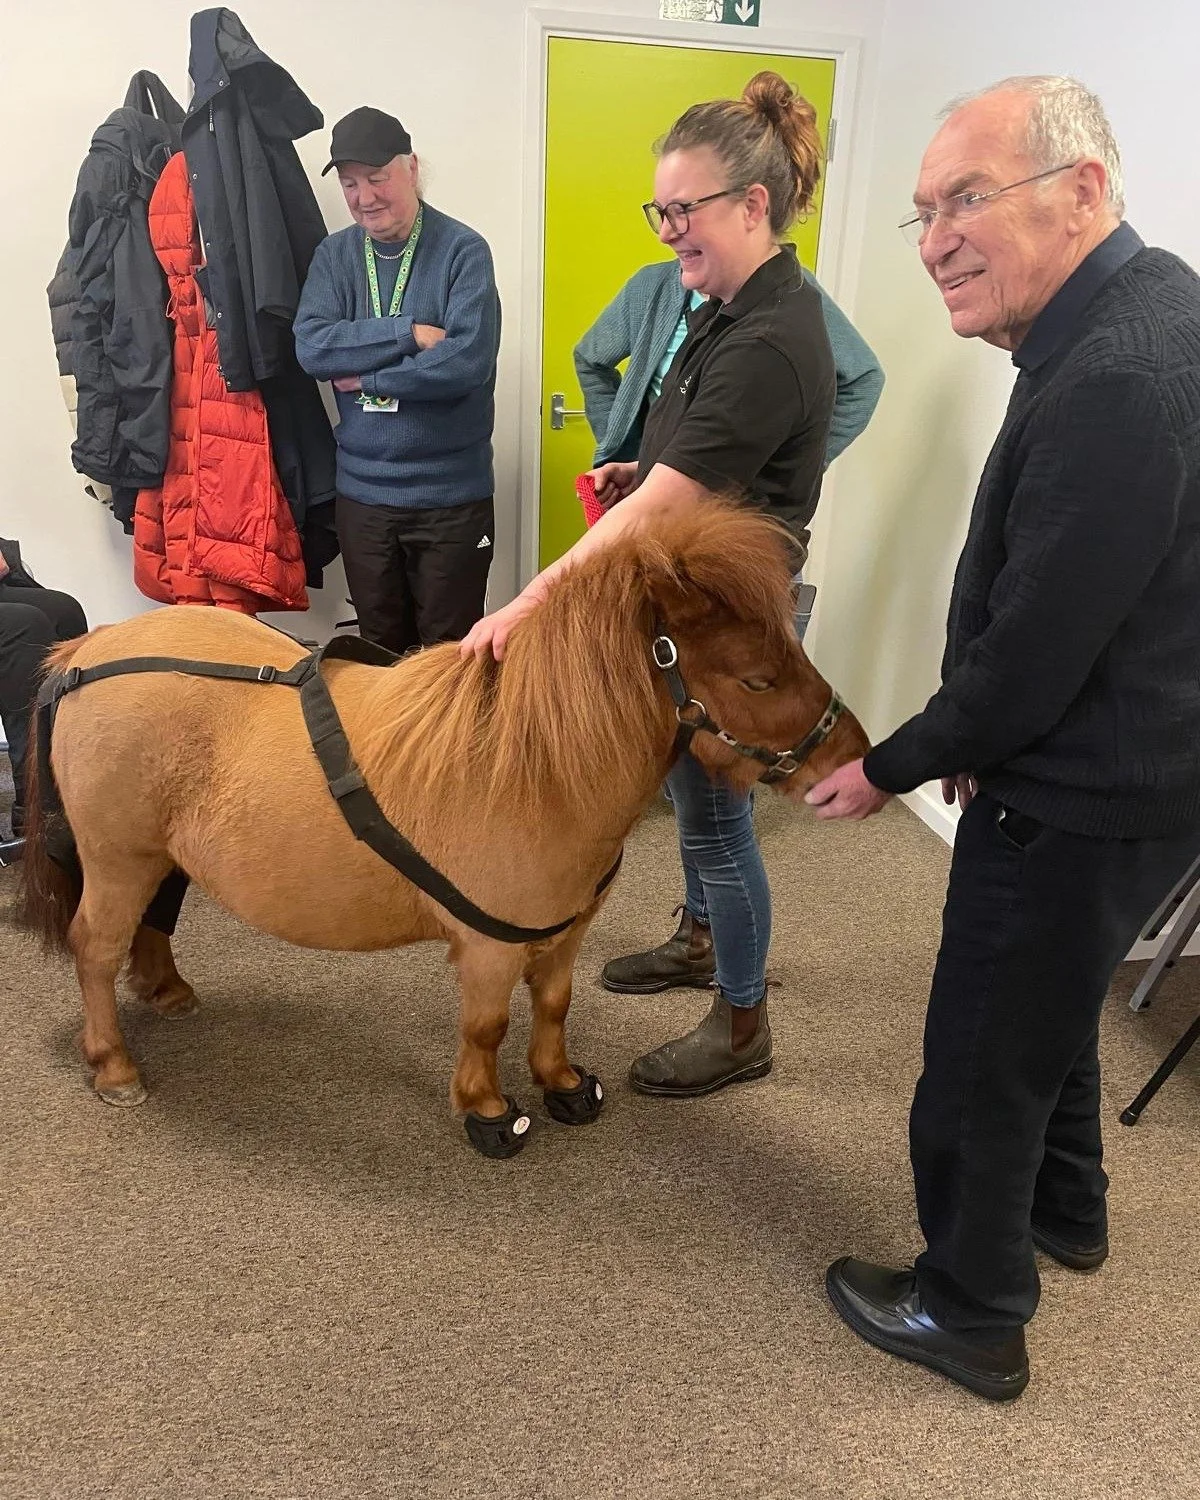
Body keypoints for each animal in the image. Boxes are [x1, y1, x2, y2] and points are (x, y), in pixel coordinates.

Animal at [18, 498, 869, 1157]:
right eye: (757, 679)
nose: (852, 760)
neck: (533, 765)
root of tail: (87, 651)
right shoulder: (491, 950)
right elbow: (487, 1028)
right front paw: (490, 1113)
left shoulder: (561, 939)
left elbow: (553, 1008)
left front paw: (564, 1084)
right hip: (118, 859)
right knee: (95, 948)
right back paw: (114, 1066)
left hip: (163, 858)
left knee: (152, 924)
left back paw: (167, 991)